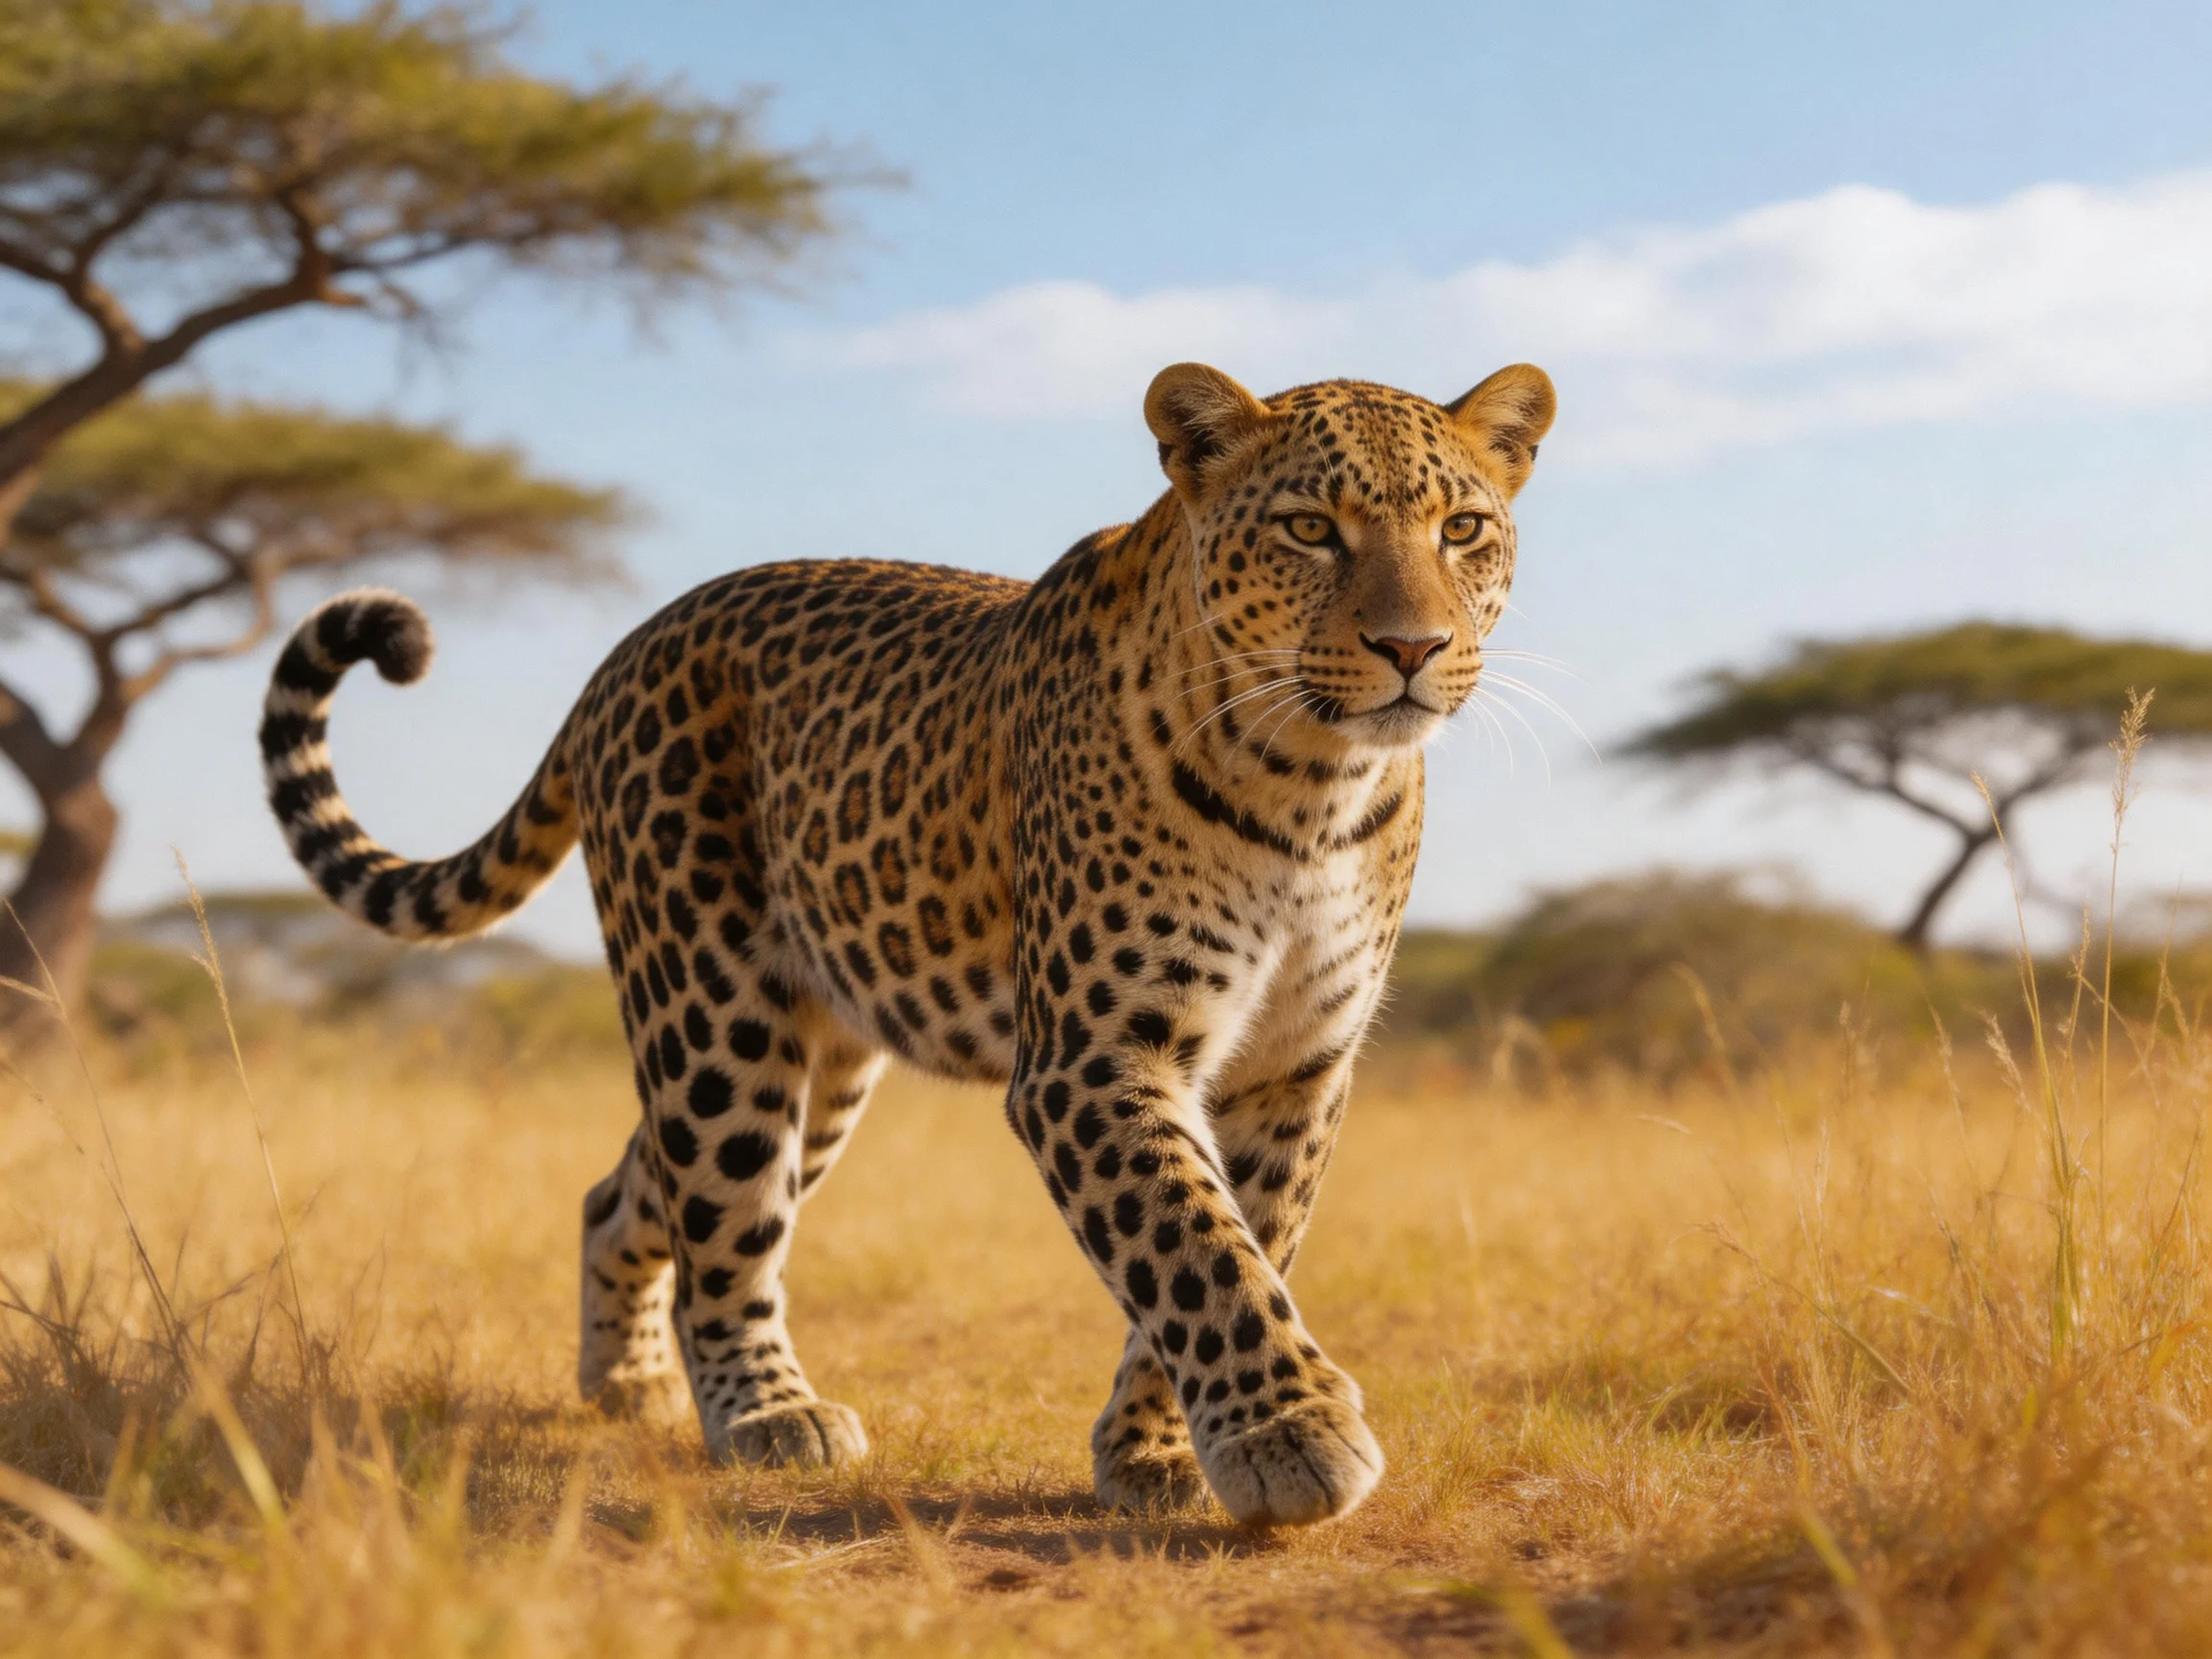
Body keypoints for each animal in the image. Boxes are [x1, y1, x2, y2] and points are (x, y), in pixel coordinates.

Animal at [256, 360, 1555, 1528]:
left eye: (1462, 529)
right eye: (1308, 530)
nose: (1411, 648)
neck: (1314, 789)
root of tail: (627, 647)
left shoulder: (1294, 1069)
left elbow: (1240, 1244)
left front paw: (1158, 1450)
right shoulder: (1096, 1057)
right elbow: (1193, 1245)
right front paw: (1290, 1434)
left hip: (822, 1055)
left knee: (628, 1190)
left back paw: (629, 1382)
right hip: (714, 1014)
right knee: (723, 1220)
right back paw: (766, 1412)